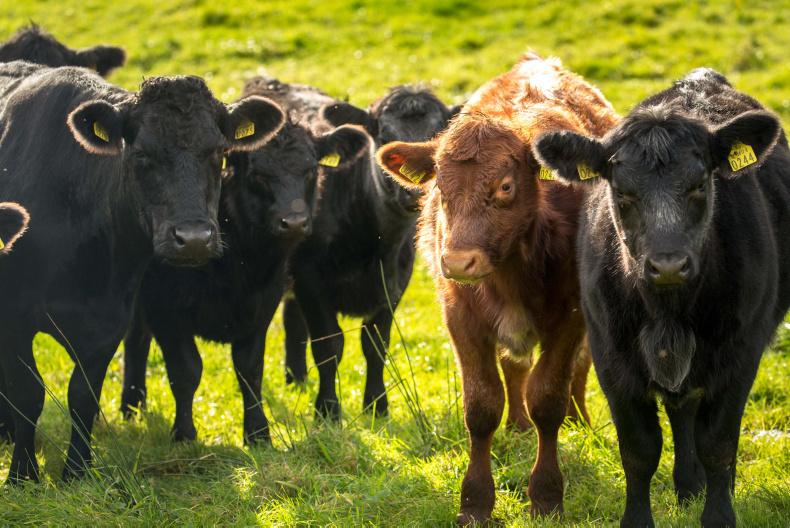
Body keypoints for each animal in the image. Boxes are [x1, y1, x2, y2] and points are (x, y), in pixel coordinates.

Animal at [0, 61, 284, 483]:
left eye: (219, 153)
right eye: (141, 155)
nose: (194, 239)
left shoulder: (108, 320)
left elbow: (82, 396)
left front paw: (77, 470)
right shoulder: (14, 319)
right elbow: (27, 395)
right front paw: (22, 473)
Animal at [118, 116, 369, 445]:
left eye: (311, 170)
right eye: (258, 175)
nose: (295, 223)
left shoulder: (262, 303)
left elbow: (249, 369)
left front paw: (258, 432)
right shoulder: (164, 307)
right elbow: (186, 370)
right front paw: (184, 433)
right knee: (136, 338)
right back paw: (130, 406)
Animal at [270, 82, 458, 418]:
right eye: (383, 136)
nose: (414, 190)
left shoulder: (394, 284)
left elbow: (376, 346)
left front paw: (376, 406)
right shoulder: (310, 280)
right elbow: (329, 347)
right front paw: (327, 409)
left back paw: (297, 380)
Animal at [376, 53, 619, 524]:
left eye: (505, 186)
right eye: (439, 186)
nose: (457, 261)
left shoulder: (570, 316)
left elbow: (549, 398)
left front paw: (546, 496)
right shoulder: (461, 318)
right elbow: (483, 406)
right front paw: (474, 503)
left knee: (577, 371)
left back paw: (579, 422)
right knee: (515, 369)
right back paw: (518, 427)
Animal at [533, 68, 788, 527]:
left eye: (700, 184)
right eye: (621, 192)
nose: (668, 265)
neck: (668, 313)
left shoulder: (741, 354)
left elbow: (718, 445)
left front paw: (719, 515)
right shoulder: (610, 357)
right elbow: (639, 450)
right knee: (681, 412)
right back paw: (687, 485)